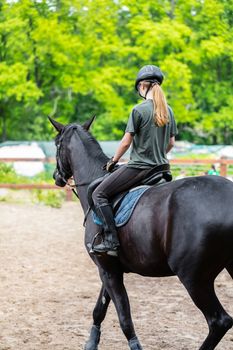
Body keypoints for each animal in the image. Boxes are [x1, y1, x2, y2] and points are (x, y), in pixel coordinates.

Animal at [48, 117, 232, 350]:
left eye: (57, 144)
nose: (56, 177)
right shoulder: (109, 268)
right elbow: (100, 309)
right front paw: (91, 343)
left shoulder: (107, 269)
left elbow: (124, 317)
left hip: (194, 277)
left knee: (219, 321)